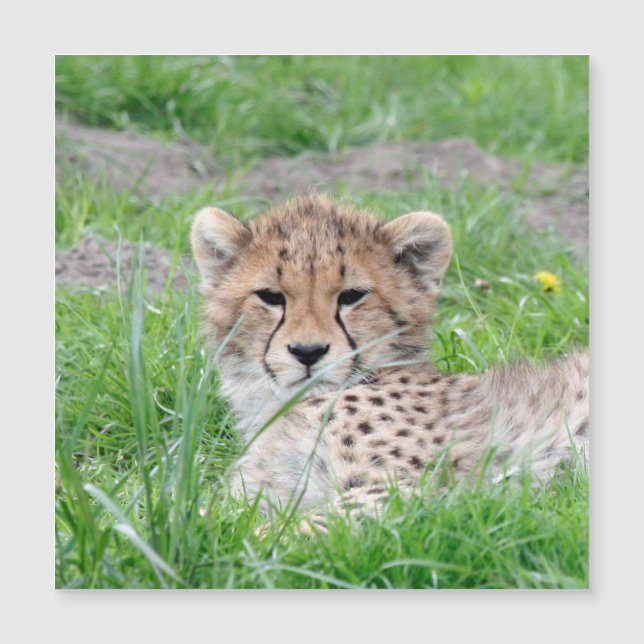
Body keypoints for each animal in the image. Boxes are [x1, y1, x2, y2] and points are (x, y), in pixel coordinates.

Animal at [191, 193, 589, 524]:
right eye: (271, 297)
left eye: (351, 296)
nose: (308, 352)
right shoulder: (260, 493)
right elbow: (206, 518)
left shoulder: (411, 490)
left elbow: (283, 532)